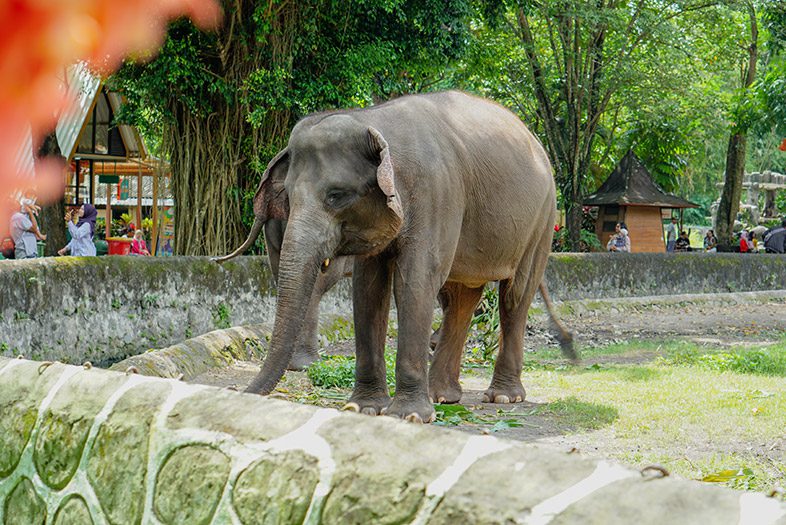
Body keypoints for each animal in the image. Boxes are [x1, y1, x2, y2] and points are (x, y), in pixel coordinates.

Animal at [220, 91, 560, 422]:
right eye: (288, 197)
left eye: (337, 196)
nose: (239, 393)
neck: (373, 120)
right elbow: (368, 288)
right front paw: (363, 408)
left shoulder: (436, 194)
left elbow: (415, 280)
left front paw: (409, 416)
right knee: (461, 298)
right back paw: (442, 396)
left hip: (542, 218)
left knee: (515, 295)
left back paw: (502, 397)